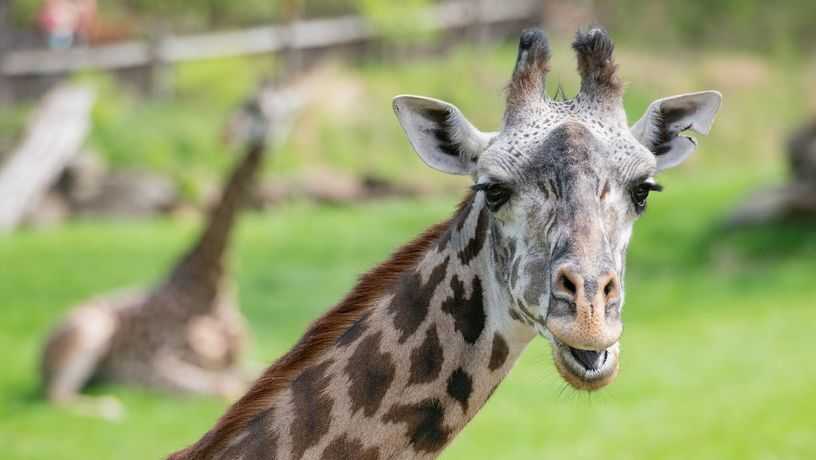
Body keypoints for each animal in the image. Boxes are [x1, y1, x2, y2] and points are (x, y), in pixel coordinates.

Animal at [39, 96, 270, 416]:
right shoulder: (158, 367)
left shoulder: (237, 363)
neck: (212, 288)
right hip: (91, 330)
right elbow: (225, 389)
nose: (265, 135)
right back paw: (110, 408)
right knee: (57, 396)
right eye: (250, 108)